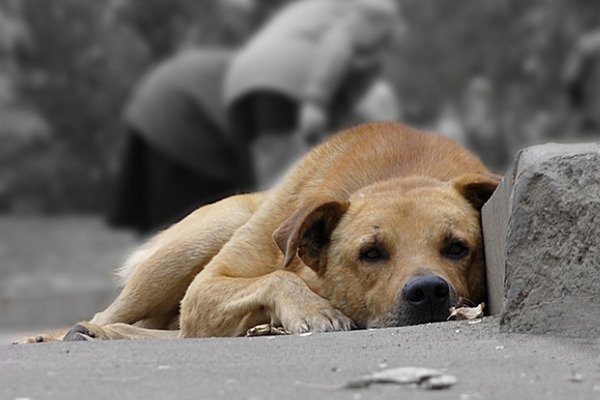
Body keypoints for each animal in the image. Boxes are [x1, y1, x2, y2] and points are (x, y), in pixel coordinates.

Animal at [16, 122, 500, 344]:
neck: (399, 173)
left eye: (457, 248)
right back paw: (65, 334)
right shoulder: (206, 287)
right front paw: (313, 310)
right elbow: (277, 275)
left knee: (177, 335)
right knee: (111, 314)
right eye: (371, 252)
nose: (429, 292)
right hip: (203, 238)